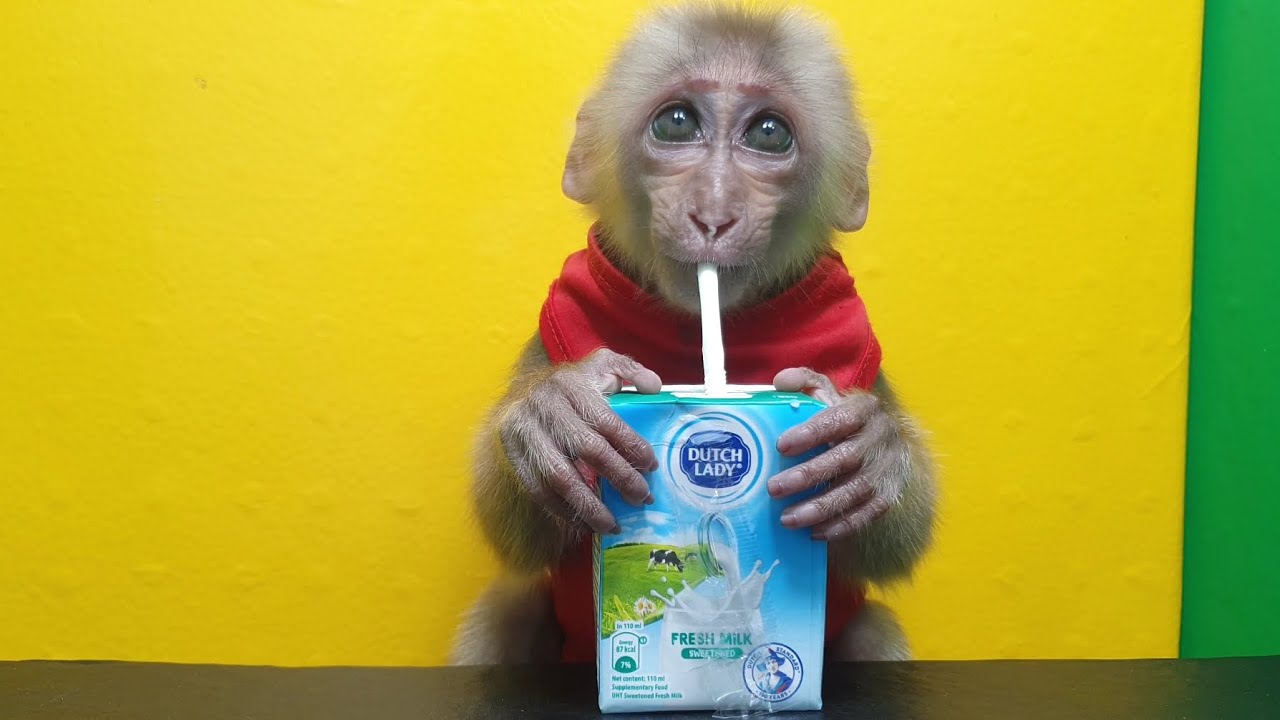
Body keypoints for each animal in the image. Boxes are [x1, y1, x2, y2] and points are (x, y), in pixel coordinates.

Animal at [450, 2, 936, 666]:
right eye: (677, 123)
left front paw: (870, 449)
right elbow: (516, 534)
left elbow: (891, 544)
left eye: (768, 133)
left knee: (875, 634)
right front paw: (553, 415)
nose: (713, 213)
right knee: (503, 614)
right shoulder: (549, 337)